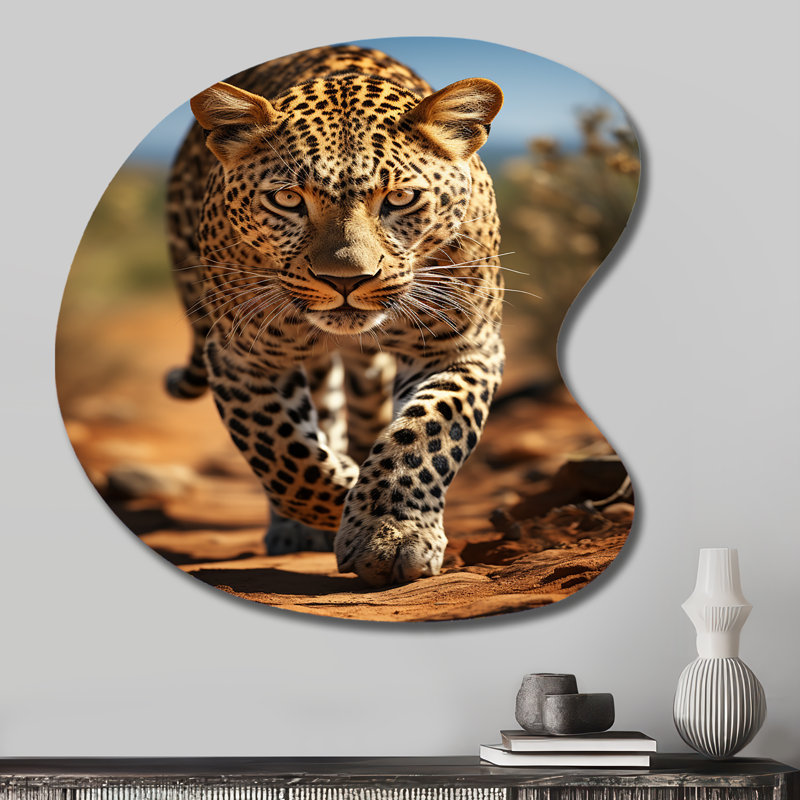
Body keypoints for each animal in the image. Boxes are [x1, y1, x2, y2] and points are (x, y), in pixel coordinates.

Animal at [166, 45, 505, 587]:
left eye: (400, 198)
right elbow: (287, 456)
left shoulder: (462, 346)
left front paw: (391, 530)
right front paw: (346, 495)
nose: (345, 281)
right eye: (287, 199)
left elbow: (423, 433)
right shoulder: (242, 355)